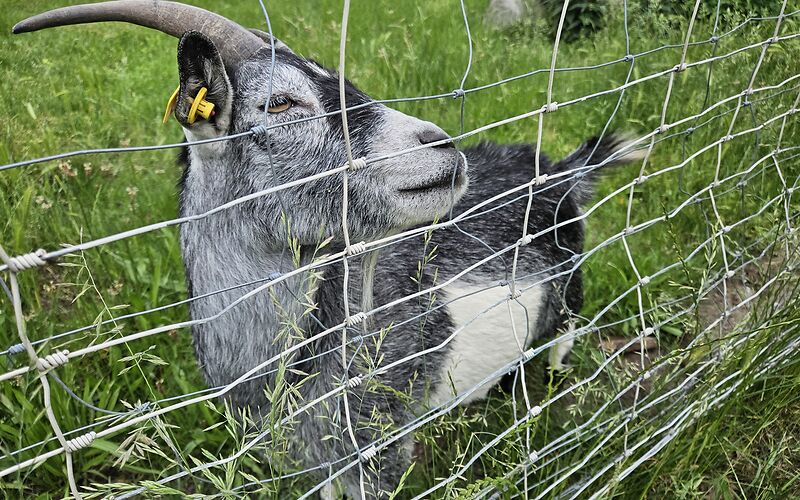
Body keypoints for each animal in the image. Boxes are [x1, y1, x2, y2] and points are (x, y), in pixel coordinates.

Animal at [14, 1, 642, 497]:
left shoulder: (378, 450)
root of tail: (563, 172)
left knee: (562, 342)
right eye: (281, 103)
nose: (441, 146)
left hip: (570, 301)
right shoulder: (311, 461)